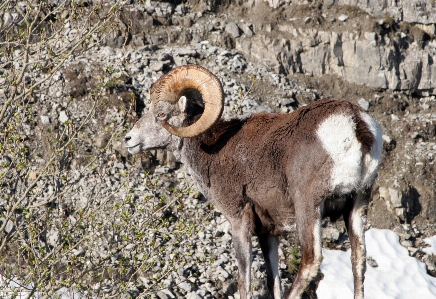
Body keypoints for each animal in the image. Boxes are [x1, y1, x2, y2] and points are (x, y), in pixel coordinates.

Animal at [125, 64, 382, 298]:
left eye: (161, 115)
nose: (129, 139)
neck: (213, 151)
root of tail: (354, 123)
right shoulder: (269, 232)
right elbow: (273, 280)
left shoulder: (239, 221)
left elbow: (244, 280)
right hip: (357, 203)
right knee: (358, 260)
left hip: (309, 206)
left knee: (311, 260)